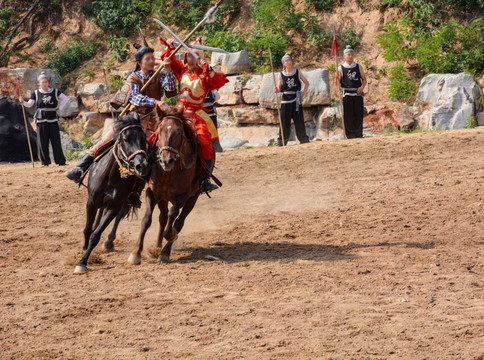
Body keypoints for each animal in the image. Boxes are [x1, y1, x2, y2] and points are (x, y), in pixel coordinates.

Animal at [73, 112, 148, 272]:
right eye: (125, 138)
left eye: (144, 138)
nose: (141, 165)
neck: (110, 177)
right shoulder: (91, 202)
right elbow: (87, 229)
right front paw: (84, 248)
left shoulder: (115, 205)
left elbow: (96, 235)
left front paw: (82, 262)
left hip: (125, 202)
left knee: (118, 217)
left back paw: (109, 242)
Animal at [127, 105, 201, 264]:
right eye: (159, 131)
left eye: (179, 132)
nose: (166, 161)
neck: (169, 173)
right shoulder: (152, 192)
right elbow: (146, 220)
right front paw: (135, 254)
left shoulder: (183, 196)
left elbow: (174, 219)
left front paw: (171, 235)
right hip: (163, 199)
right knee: (163, 218)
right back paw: (158, 245)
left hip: (193, 197)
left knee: (179, 221)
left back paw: (164, 252)